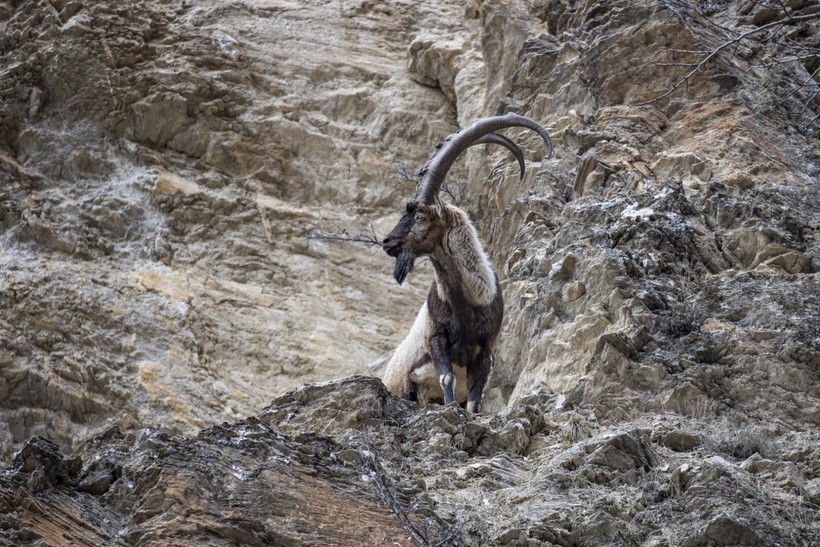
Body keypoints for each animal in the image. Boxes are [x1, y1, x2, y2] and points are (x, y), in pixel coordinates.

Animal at [382, 113, 552, 414]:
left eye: (420, 217)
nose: (387, 242)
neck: (467, 303)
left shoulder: (486, 348)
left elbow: (475, 398)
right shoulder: (435, 338)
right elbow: (446, 377)